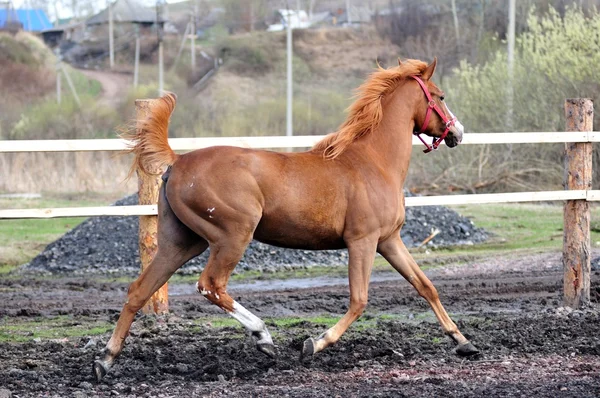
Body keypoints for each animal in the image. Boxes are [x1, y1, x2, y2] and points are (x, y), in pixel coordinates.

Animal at [92, 57, 478, 380]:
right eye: (440, 96)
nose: (459, 132)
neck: (372, 162)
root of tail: (178, 161)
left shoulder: (389, 240)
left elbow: (425, 286)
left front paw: (463, 342)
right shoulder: (362, 241)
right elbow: (359, 300)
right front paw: (314, 344)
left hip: (181, 243)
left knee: (139, 291)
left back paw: (105, 360)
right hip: (232, 236)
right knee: (211, 285)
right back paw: (262, 336)